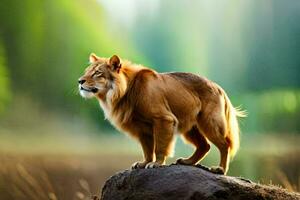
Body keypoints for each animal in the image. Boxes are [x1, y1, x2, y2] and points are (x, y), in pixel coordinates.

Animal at [78, 54, 245, 174]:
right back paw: (187, 162)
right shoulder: (142, 127)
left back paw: (220, 169)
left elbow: (160, 146)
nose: (80, 81)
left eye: (97, 73)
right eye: (86, 72)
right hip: (191, 128)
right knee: (204, 146)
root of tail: (219, 88)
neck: (124, 92)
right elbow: (147, 149)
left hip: (209, 122)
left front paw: (156, 164)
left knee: (224, 145)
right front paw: (144, 163)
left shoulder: (164, 119)